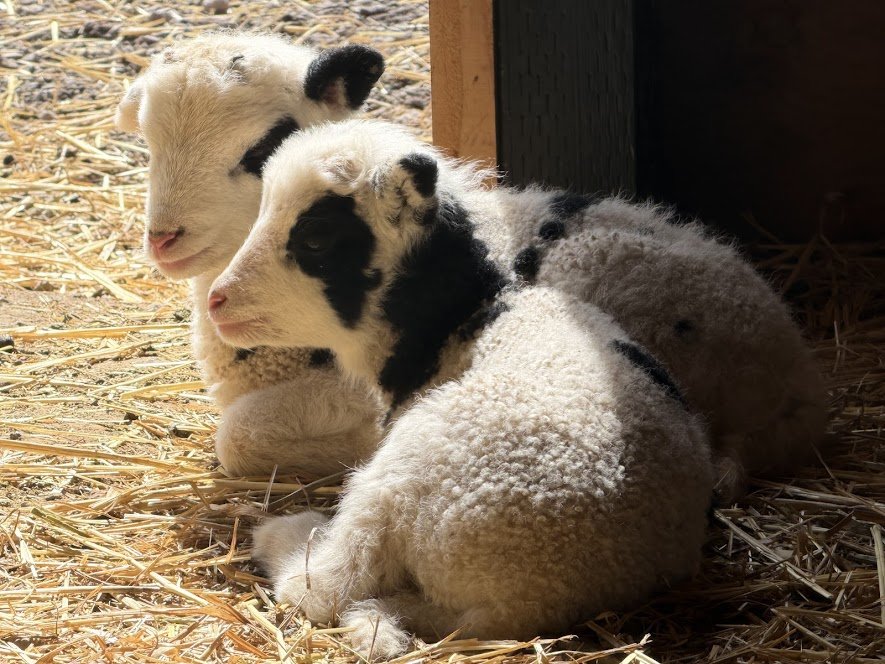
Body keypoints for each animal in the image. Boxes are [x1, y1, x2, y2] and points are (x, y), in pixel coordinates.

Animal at [207, 119, 715, 658]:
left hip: (405, 473)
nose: (218, 299)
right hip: (451, 596)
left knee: (326, 584)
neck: (460, 318)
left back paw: (281, 535)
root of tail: (522, 597)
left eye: (317, 238)